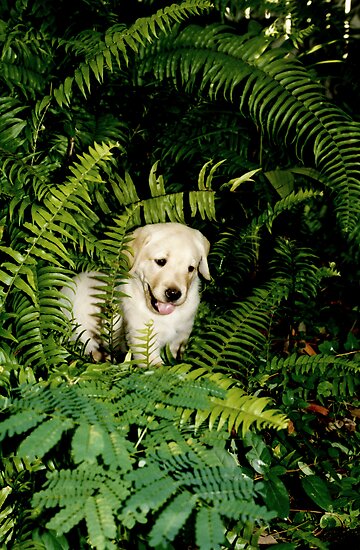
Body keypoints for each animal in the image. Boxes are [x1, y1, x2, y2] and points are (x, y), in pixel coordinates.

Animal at [60, 224, 210, 366]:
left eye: (191, 268)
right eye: (160, 261)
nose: (174, 294)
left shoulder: (181, 335)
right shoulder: (142, 337)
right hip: (78, 326)